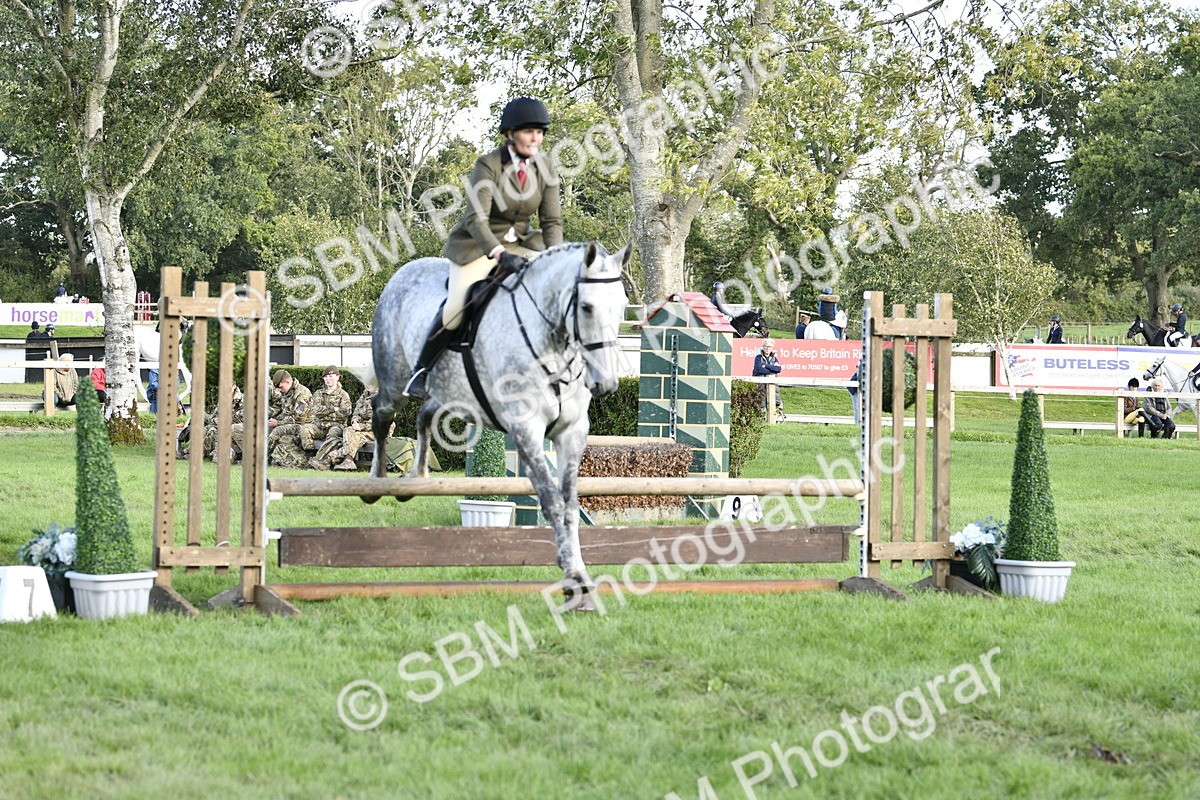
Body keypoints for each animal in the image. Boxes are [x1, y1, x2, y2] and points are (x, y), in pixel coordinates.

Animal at [367, 242, 631, 610]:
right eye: (587, 307)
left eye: (621, 306)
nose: (605, 384)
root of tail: (404, 271)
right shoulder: (527, 429)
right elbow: (552, 501)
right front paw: (574, 579)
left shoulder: (572, 432)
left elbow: (570, 506)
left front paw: (580, 579)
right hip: (394, 381)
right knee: (381, 412)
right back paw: (376, 482)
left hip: (453, 397)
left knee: (425, 415)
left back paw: (417, 477)